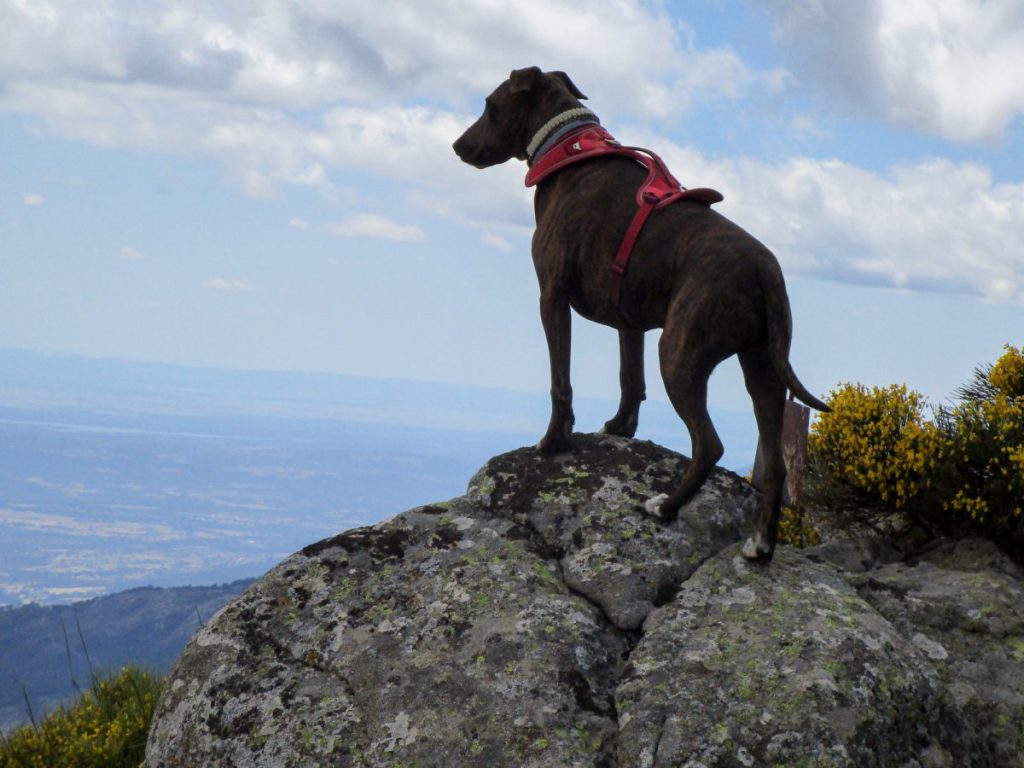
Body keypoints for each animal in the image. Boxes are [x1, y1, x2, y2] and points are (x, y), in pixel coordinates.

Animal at [452, 67, 827, 565]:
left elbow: (560, 381)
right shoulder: (629, 322)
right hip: (763, 369)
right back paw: (759, 544)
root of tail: (762, 270)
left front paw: (553, 442)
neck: (567, 146)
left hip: (680, 352)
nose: (457, 145)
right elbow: (630, 379)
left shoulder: (551, 297)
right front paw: (619, 430)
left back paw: (666, 507)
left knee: (709, 443)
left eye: (490, 105)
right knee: (775, 464)